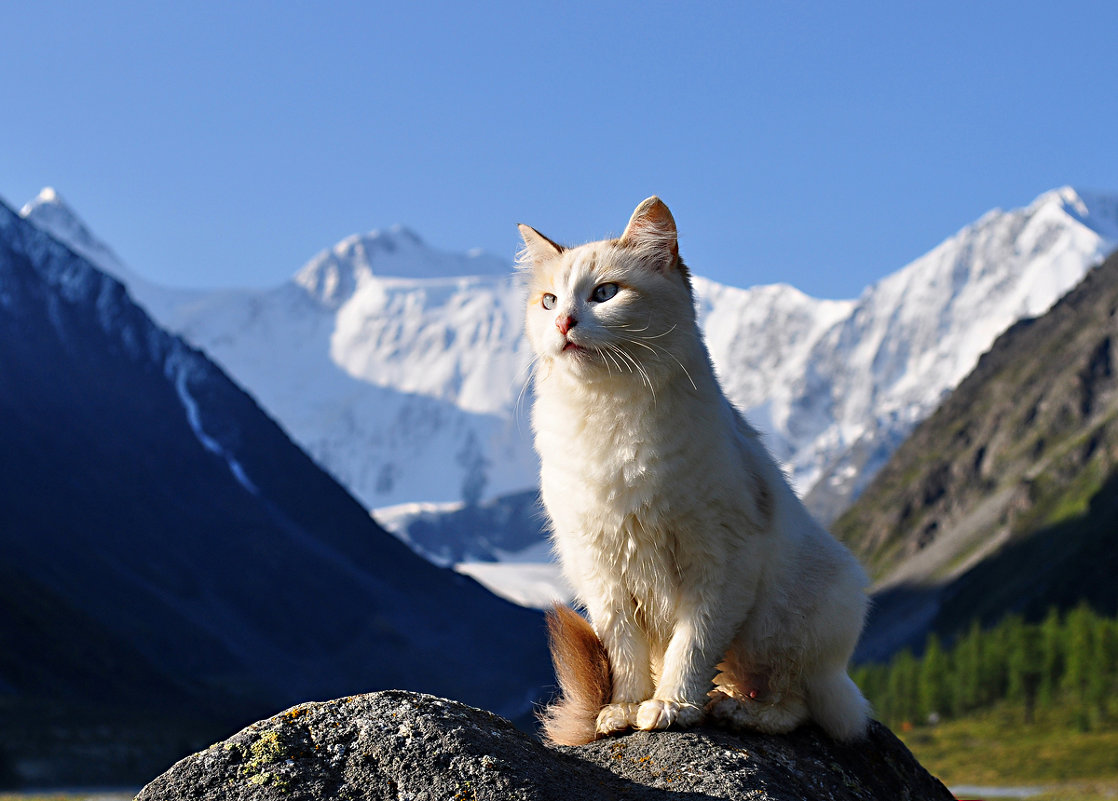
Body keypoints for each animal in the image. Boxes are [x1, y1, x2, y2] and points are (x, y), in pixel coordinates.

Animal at [516, 196, 872, 747]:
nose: (563, 325)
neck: (608, 413)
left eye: (604, 294)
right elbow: (625, 654)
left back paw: (735, 711)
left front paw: (671, 708)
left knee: (793, 704)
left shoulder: (719, 562)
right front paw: (623, 711)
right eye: (550, 301)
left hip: (785, 625)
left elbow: (692, 647)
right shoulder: (603, 571)